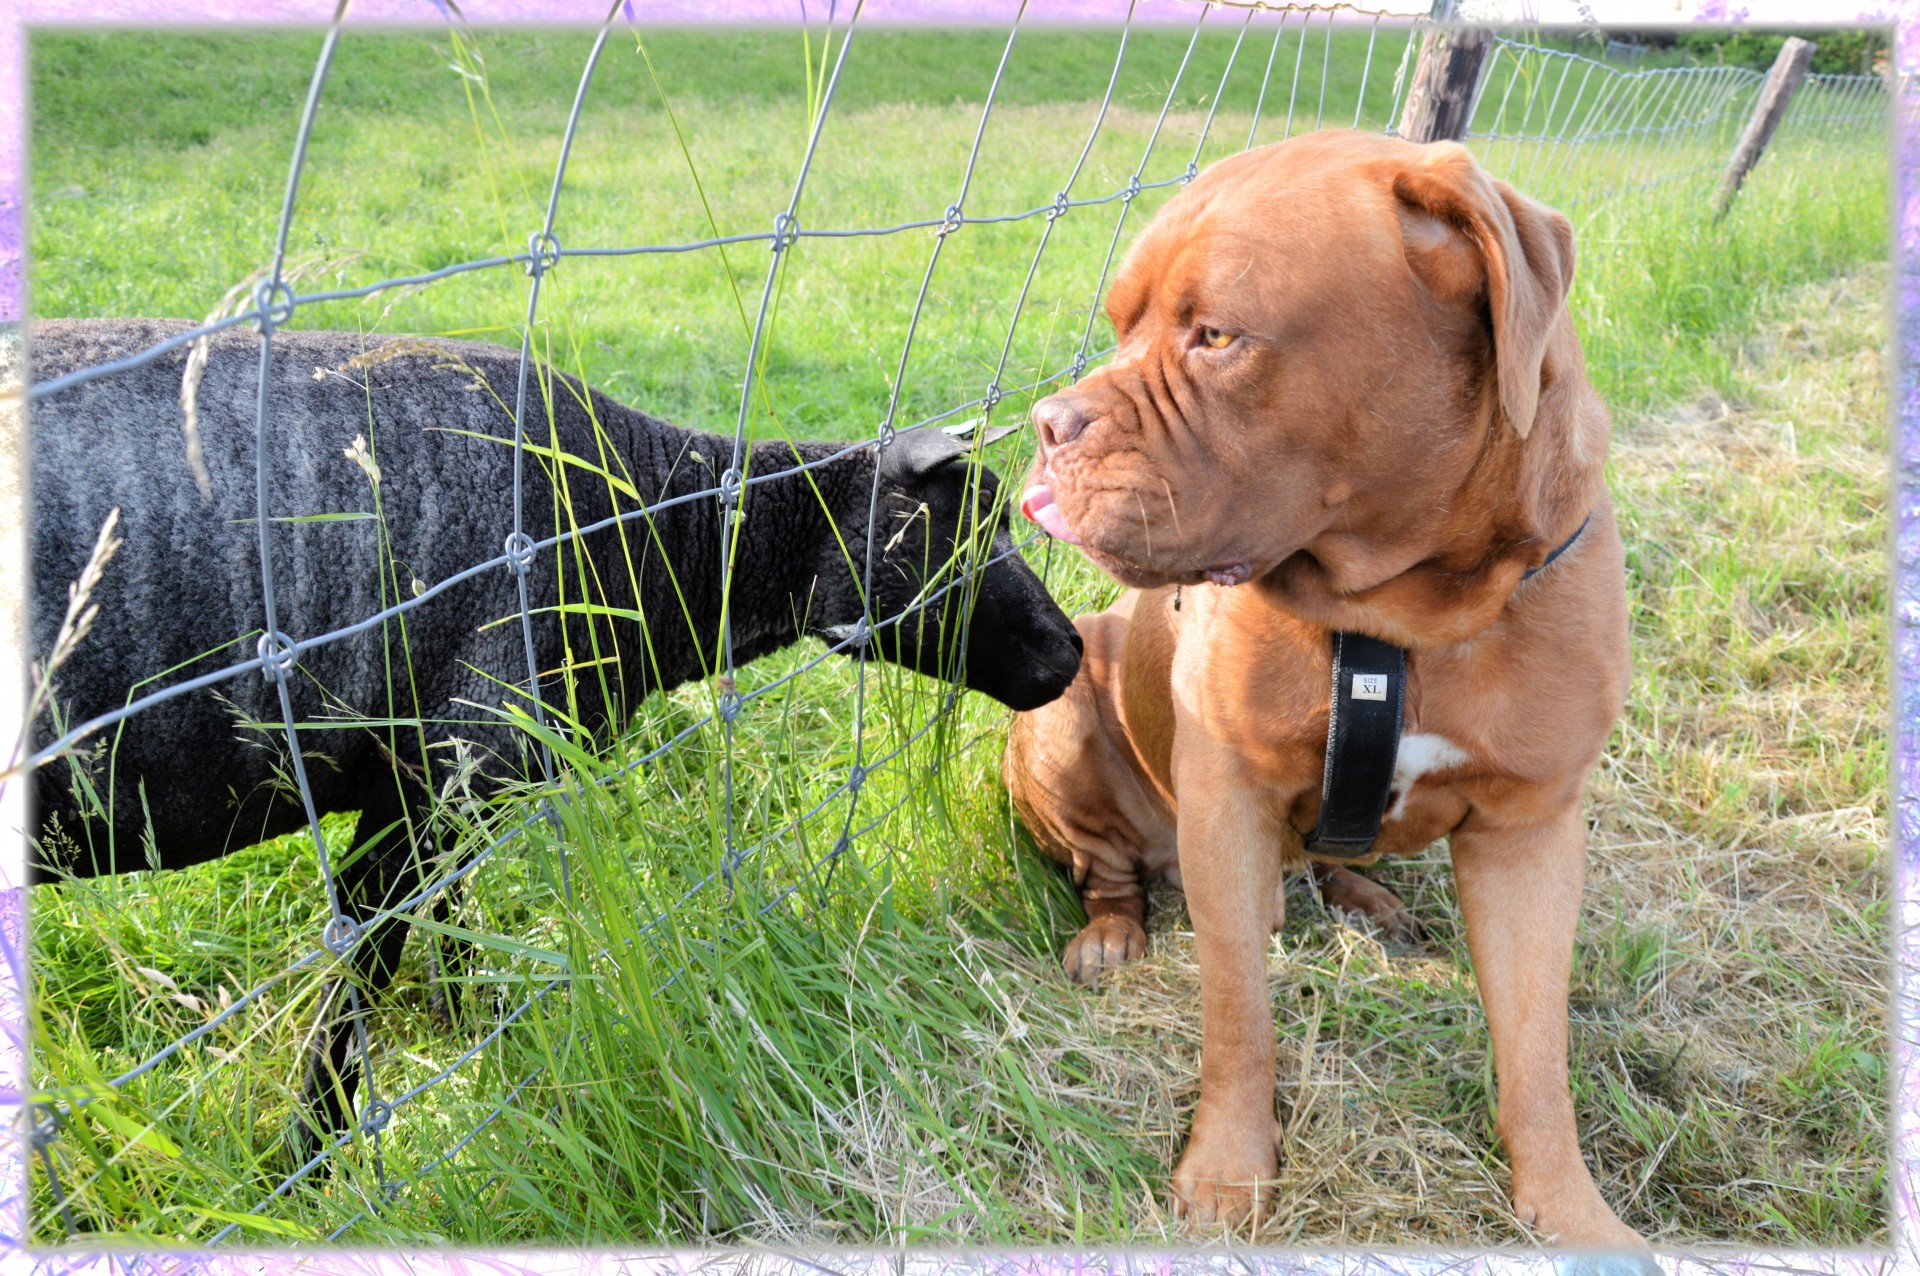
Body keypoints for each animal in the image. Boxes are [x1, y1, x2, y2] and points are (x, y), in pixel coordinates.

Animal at [998, 126, 1643, 1243]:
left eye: (1216, 337)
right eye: (1121, 323)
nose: (1048, 422)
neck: (1404, 616)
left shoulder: (1531, 831)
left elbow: (1536, 1049)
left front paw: (1571, 1214)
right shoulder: (1225, 800)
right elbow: (1237, 1017)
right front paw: (1226, 1171)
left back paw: (1363, 894)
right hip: (1064, 710)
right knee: (1114, 872)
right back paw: (1115, 935)